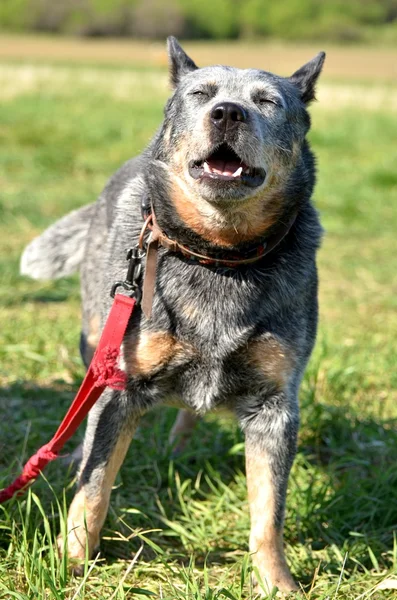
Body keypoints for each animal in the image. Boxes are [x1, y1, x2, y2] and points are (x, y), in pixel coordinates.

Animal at [20, 38, 324, 596]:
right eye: (201, 93)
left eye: (267, 101)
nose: (227, 112)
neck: (219, 257)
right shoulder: (120, 384)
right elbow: (94, 487)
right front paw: (70, 562)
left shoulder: (275, 404)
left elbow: (268, 512)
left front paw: (277, 583)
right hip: (94, 334)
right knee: (84, 414)